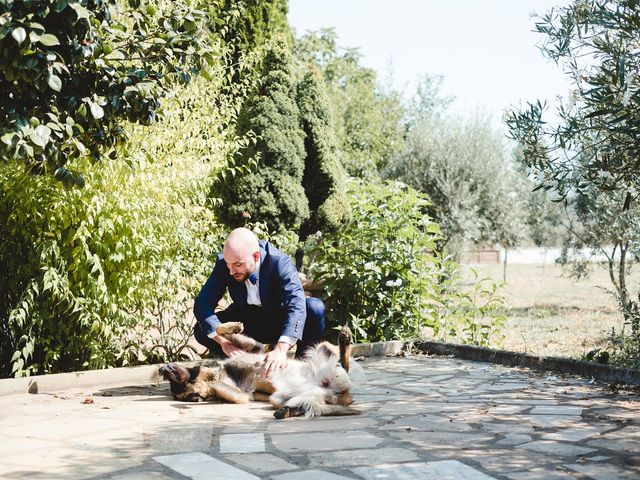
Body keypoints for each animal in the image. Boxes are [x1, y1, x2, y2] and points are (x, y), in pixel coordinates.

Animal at [158, 322, 362, 420]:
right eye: (181, 387)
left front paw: (234, 327)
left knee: (343, 362)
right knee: (306, 405)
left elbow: (219, 329)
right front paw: (211, 380)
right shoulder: (243, 395)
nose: (163, 368)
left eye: (178, 380)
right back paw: (287, 411)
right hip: (282, 397)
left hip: (322, 349)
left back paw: (344, 339)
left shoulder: (255, 349)